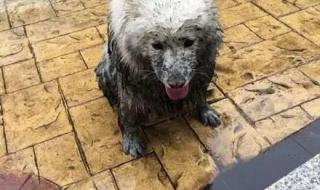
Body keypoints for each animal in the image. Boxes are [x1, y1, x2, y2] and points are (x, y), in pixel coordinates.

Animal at [95, 0, 222, 157]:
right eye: (156, 45)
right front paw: (132, 138)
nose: (176, 84)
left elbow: (200, 95)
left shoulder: (204, 68)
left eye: (189, 42)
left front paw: (205, 110)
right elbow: (128, 112)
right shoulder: (128, 78)